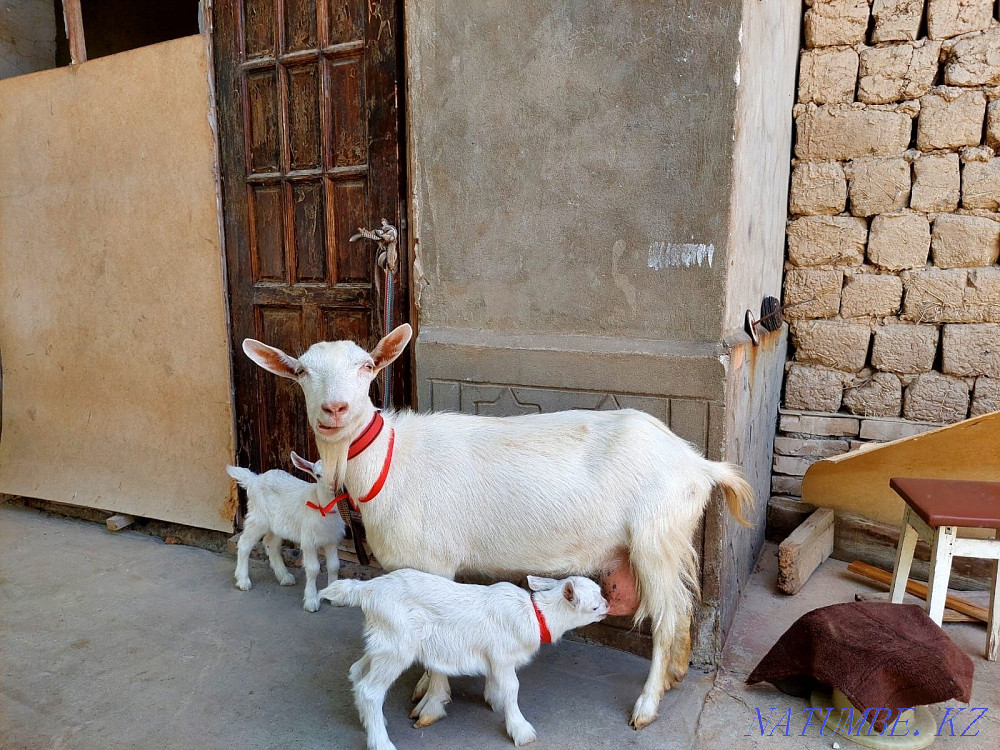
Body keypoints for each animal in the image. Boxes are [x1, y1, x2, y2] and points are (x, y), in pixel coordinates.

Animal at [226, 453, 345, 612]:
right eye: (318, 475)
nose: (332, 486)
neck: (323, 507)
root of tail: (254, 479)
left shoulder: (331, 540)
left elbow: (334, 566)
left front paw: (335, 598)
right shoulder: (308, 540)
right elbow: (313, 569)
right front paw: (311, 601)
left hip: (278, 524)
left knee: (270, 543)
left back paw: (284, 577)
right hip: (258, 518)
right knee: (244, 544)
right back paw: (243, 581)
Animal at [242, 324, 754, 729]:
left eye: (367, 366)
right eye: (301, 372)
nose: (335, 410)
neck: (389, 462)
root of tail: (698, 464)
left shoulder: (435, 561)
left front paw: (431, 704)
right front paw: (423, 687)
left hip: (655, 537)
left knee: (666, 620)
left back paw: (647, 705)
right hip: (668, 541)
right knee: (682, 611)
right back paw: (675, 676)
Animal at [320, 569, 608, 750]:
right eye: (593, 606)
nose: (608, 607)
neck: (535, 615)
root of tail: (366, 589)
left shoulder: (494, 657)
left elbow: (497, 683)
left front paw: (495, 701)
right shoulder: (502, 656)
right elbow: (512, 688)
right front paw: (521, 731)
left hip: (381, 642)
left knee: (357, 672)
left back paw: (371, 724)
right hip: (397, 646)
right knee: (370, 690)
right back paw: (381, 742)